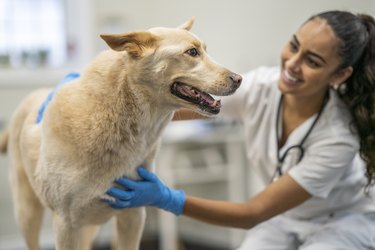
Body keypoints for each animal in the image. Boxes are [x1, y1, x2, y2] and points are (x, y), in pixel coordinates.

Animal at [0, 18, 241, 250]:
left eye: (205, 50)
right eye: (192, 52)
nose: (239, 79)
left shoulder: (133, 213)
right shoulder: (65, 223)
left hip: (87, 228)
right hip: (28, 215)